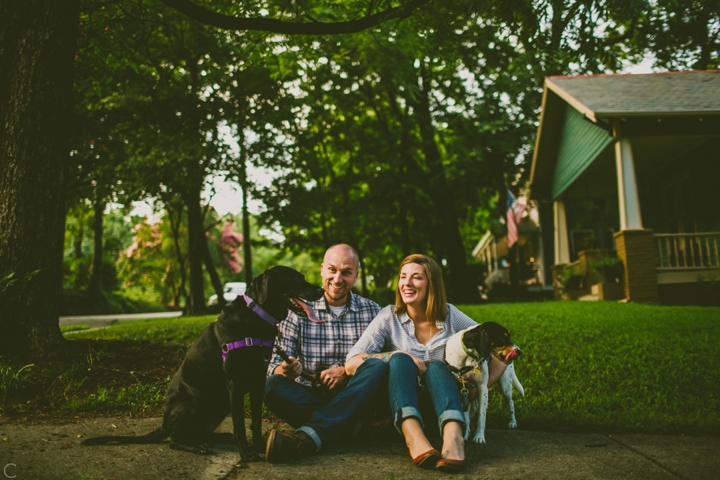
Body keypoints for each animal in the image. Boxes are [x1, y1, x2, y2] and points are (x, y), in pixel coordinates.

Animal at [81, 266, 324, 462]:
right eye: (295, 279)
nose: (321, 291)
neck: (258, 317)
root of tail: (164, 423)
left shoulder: (257, 381)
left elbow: (254, 420)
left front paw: (259, 445)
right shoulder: (235, 383)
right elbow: (239, 423)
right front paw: (246, 453)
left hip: (218, 406)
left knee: (201, 432)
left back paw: (221, 437)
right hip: (194, 403)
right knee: (175, 441)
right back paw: (197, 446)